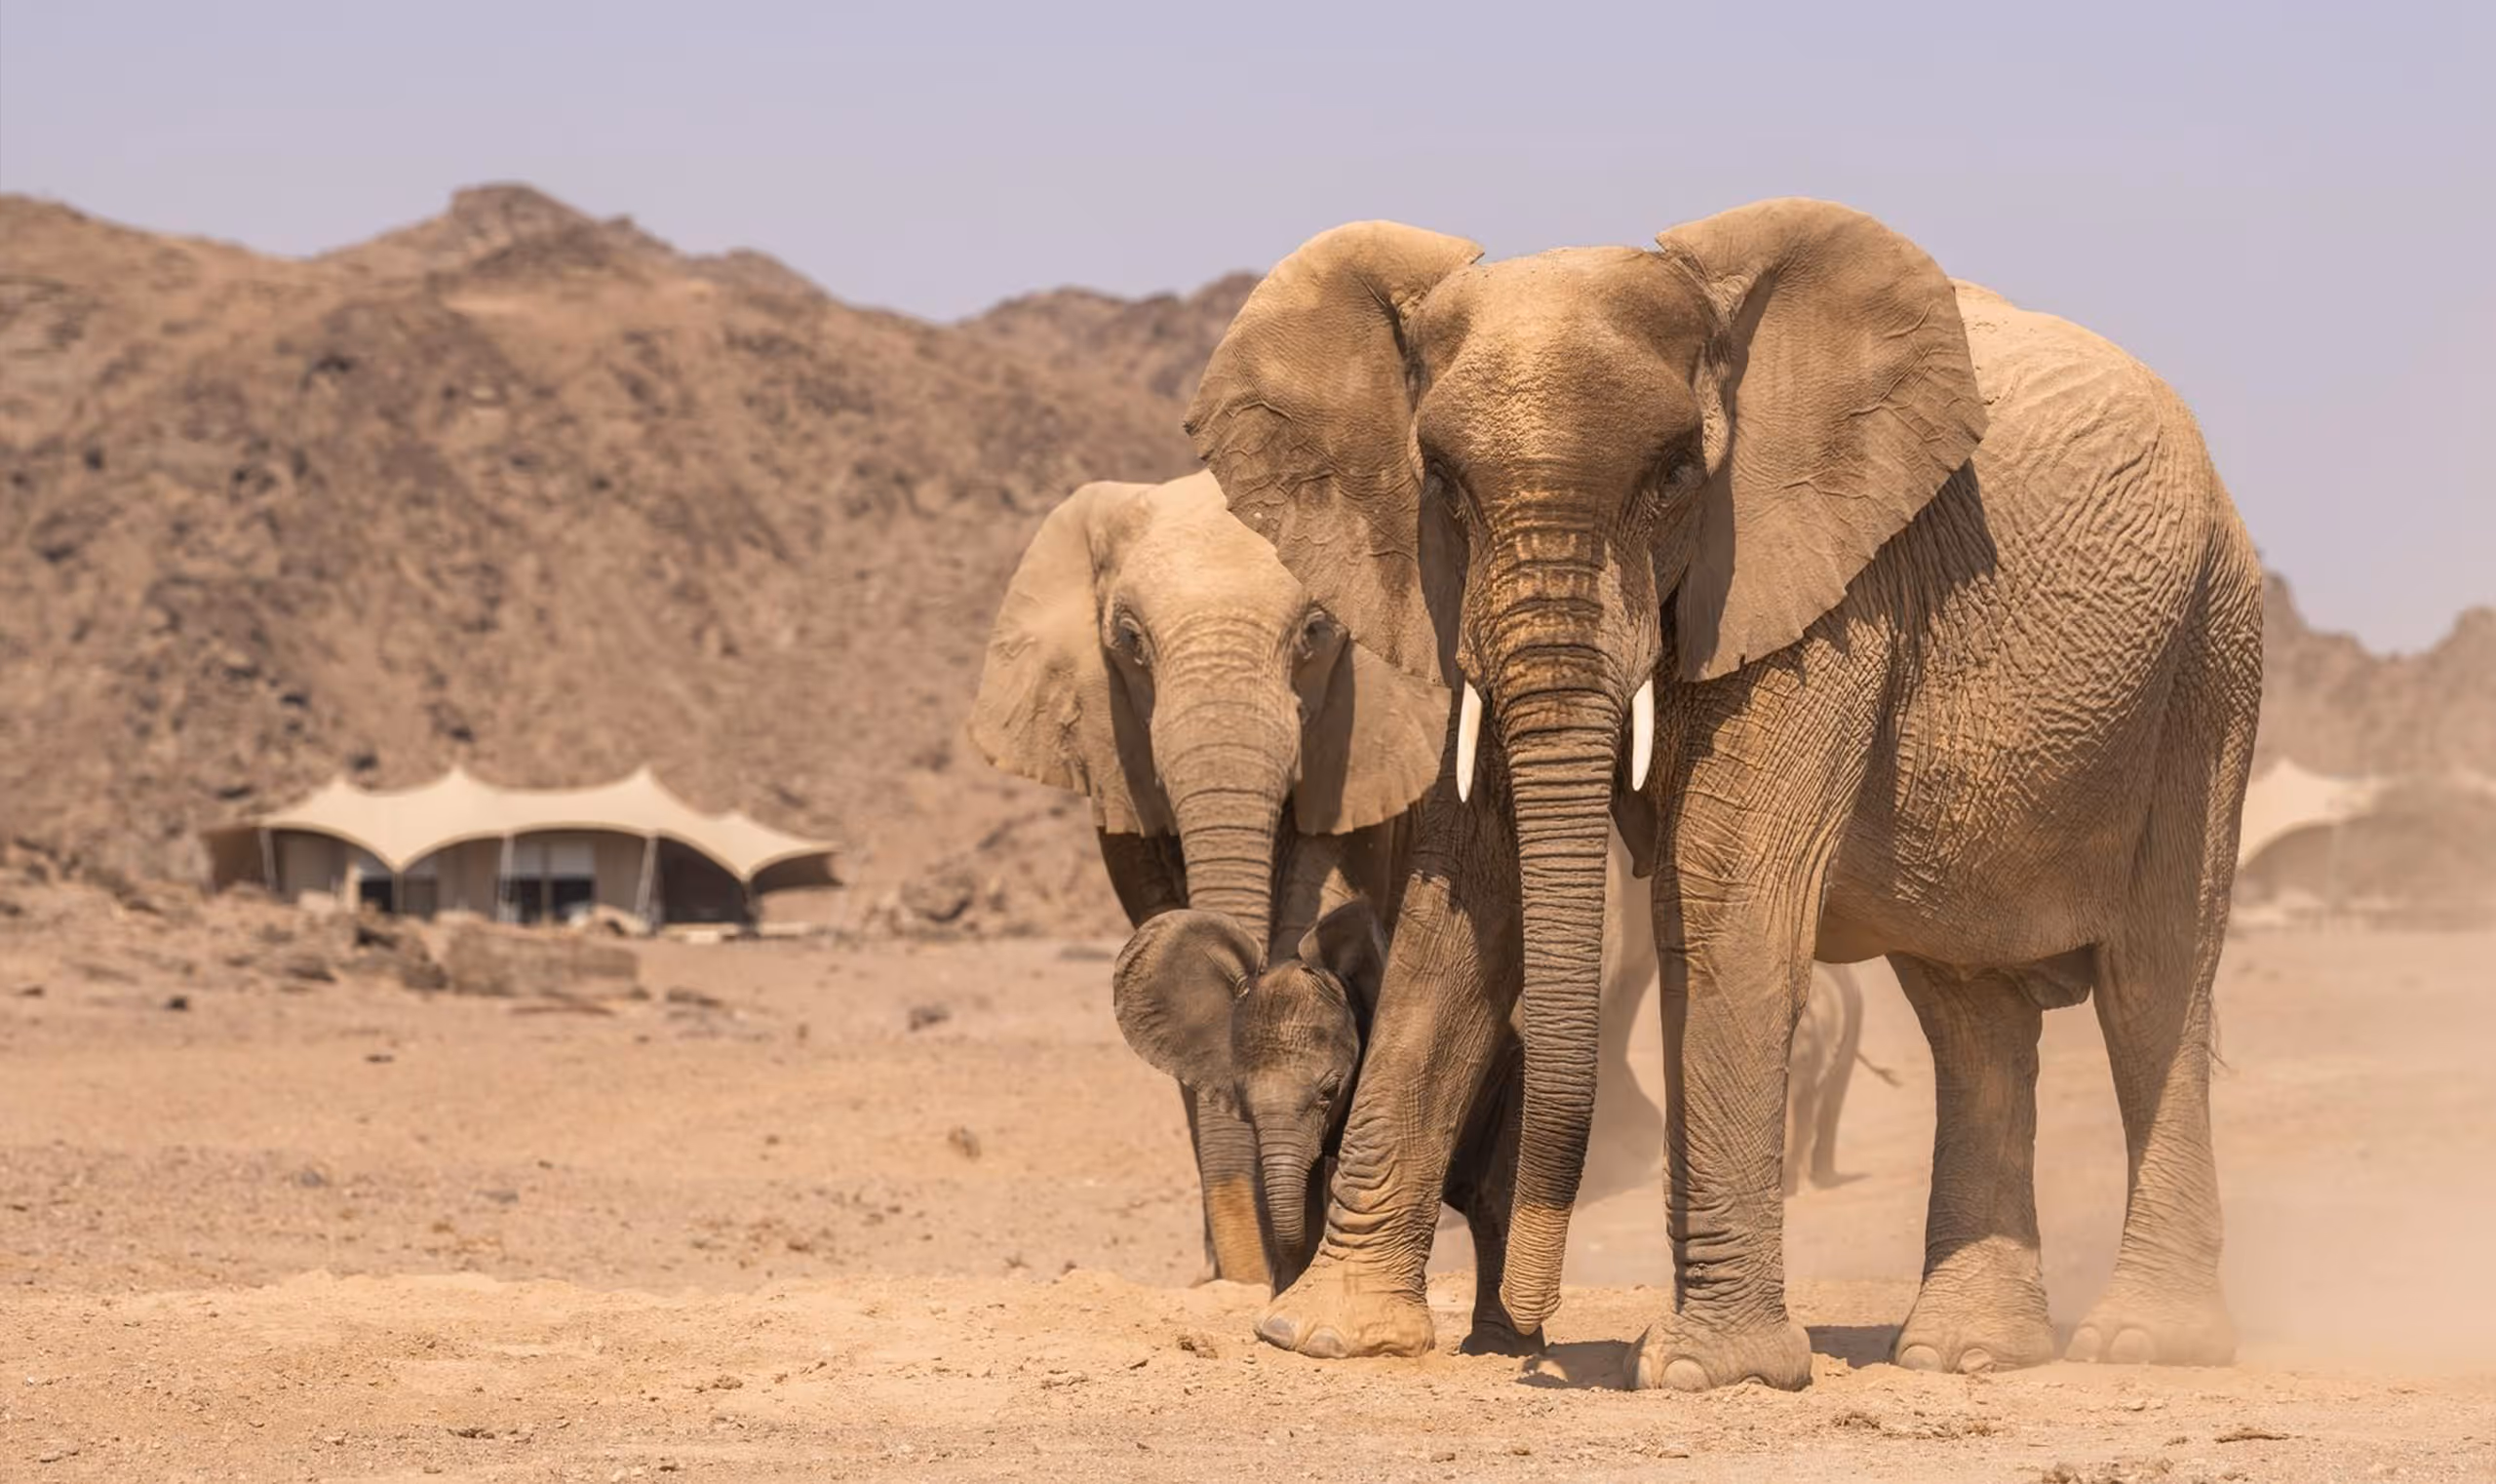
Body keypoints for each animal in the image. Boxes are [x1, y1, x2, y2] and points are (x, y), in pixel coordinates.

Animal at [968, 471, 1447, 1286]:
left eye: (1317, 631)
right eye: (1130, 641)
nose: (1252, 1276)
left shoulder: (1367, 734)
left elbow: (1319, 898)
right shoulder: (1116, 756)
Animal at [1183, 197, 2262, 1388]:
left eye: (1673, 477)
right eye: (1443, 486)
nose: (1526, 1331)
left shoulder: (1818, 582)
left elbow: (1724, 900)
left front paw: (1707, 1372)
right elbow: (1461, 906)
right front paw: (1325, 1336)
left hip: (2209, 659)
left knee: (2151, 985)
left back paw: (2144, 1344)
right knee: (1970, 1017)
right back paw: (1967, 1356)